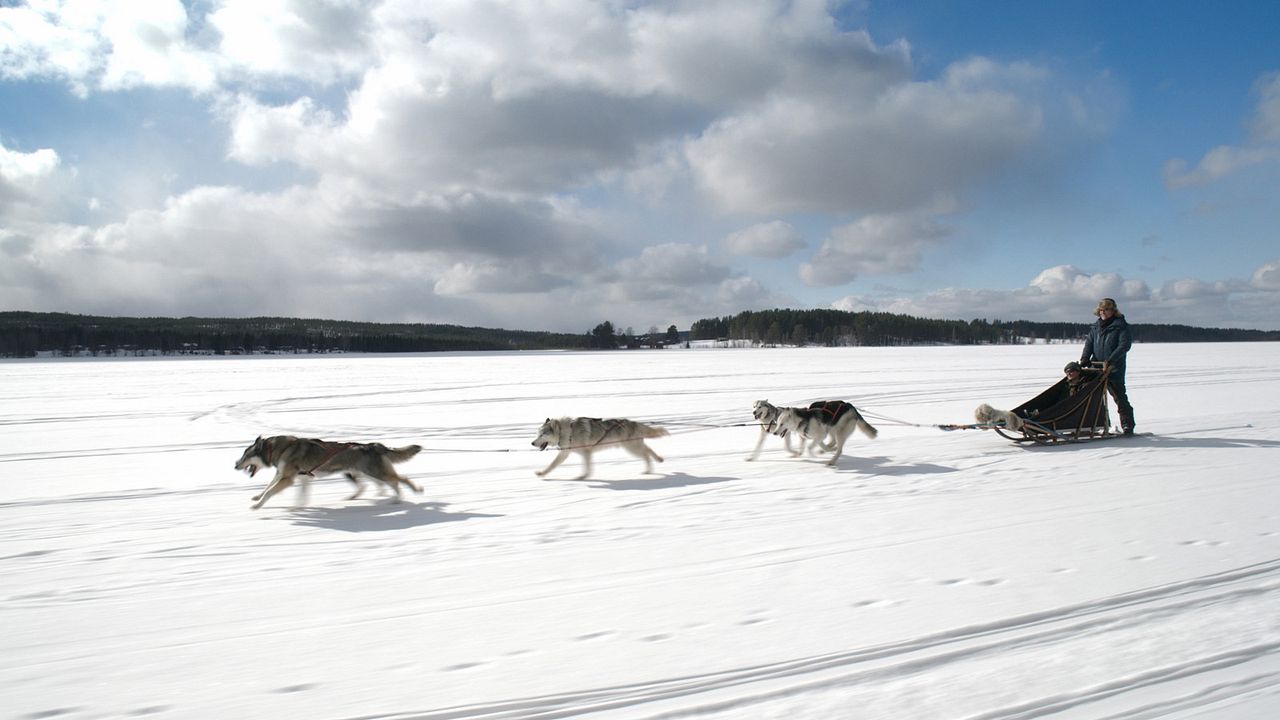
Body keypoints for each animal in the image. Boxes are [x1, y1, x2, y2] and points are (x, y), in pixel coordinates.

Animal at [235, 435, 424, 507]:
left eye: (246, 455)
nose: (235, 465)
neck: (276, 449)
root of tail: (374, 445)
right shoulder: (296, 477)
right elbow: (268, 488)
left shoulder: (287, 478)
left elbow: (270, 492)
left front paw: (257, 505)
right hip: (366, 473)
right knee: (389, 482)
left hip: (375, 473)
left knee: (399, 480)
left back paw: (402, 497)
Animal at [529, 415, 670, 476]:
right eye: (537, 434)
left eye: (542, 435)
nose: (532, 443)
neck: (566, 431)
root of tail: (634, 422)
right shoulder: (565, 453)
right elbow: (552, 465)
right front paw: (542, 473)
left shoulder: (586, 453)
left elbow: (587, 468)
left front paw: (583, 477)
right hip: (632, 447)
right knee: (648, 451)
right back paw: (655, 463)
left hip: (631, 448)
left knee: (646, 453)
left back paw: (652, 466)